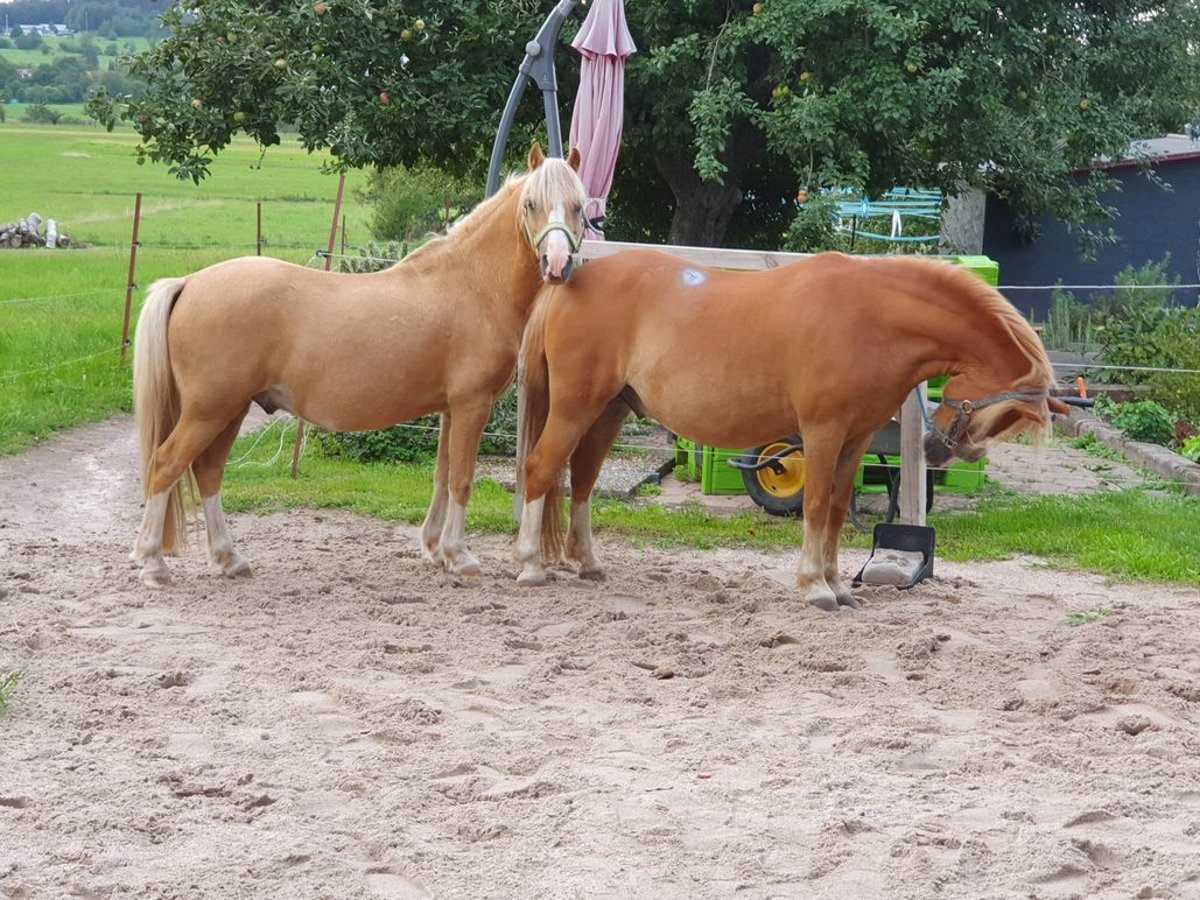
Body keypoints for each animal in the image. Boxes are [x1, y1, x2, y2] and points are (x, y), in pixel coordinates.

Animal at [129, 144, 588, 588]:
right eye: (531, 204)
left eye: (579, 206)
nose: (556, 263)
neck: (472, 285)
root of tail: (189, 282)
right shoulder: (472, 405)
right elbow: (462, 477)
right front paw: (460, 557)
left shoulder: (450, 410)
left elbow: (442, 476)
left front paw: (435, 549)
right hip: (209, 411)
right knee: (165, 465)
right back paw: (153, 565)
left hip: (230, 411)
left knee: (208, 472)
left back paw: (229, 559)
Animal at [516, 250, 1070, 609]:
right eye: (1000, 413)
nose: (938, 450)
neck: (872, 317)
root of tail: (569, 282)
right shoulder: (823, 432)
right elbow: (818, 504)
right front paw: (815, 587)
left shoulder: (856, 439)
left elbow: (840, 509)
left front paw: (839, 585)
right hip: (575, 407)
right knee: (542, 470)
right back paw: (530, 565)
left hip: (609, 411)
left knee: (583, 480)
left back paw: (587, 563)